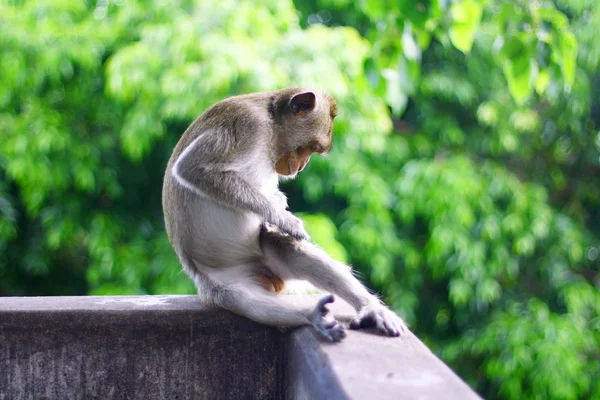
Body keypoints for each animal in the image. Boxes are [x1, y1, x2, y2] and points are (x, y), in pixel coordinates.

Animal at [162, 87, 408, 340]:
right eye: (307, 148)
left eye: (313, 151)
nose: (301, 167)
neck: (271, 128)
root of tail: (264, 275)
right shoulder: (248, 124)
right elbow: (194, 169)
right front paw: (284, 219)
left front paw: (279, 211)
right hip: (220, 284)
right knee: (244, 299)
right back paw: (311, 315)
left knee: (289, 249)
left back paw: (370, 309)